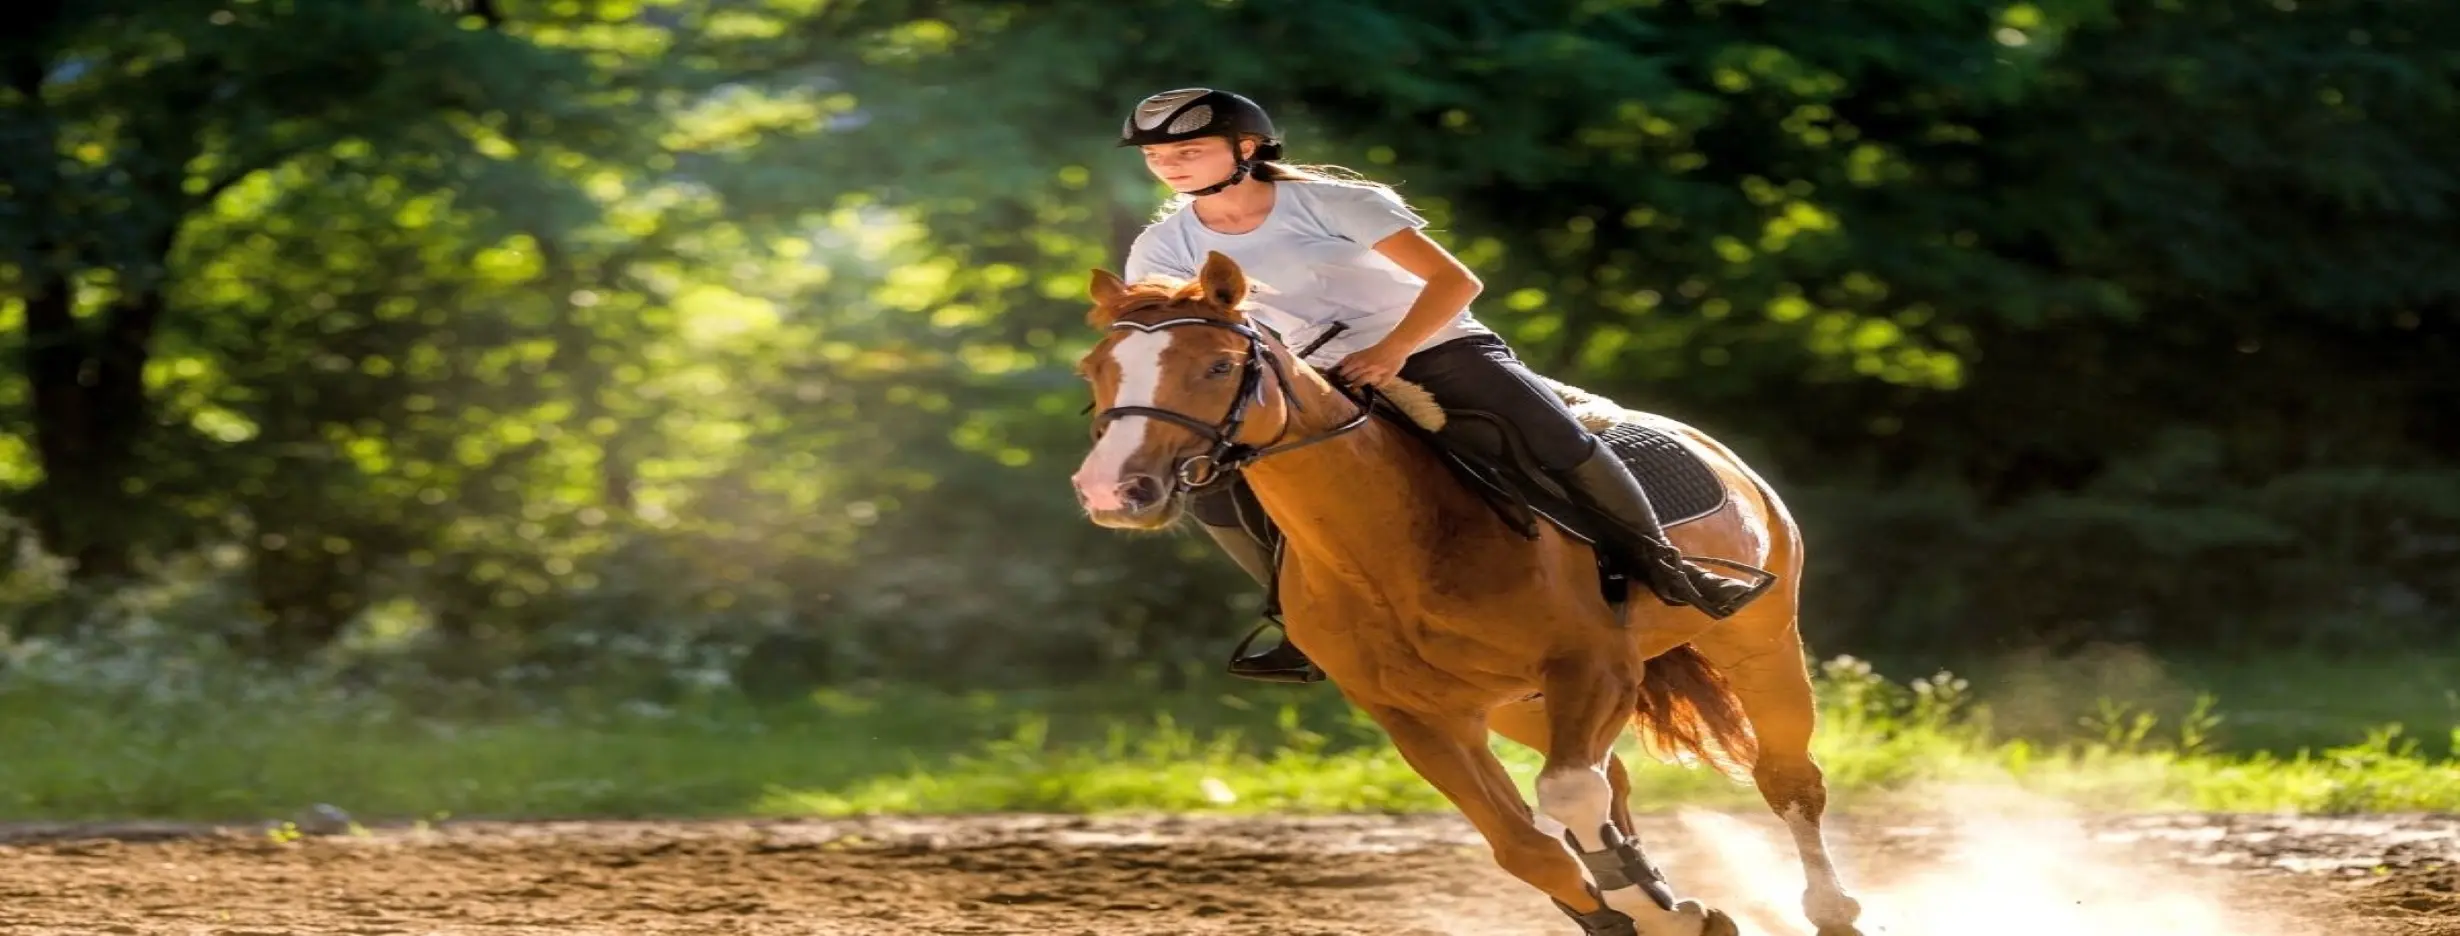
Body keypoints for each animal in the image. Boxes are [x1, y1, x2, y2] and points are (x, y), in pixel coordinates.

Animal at [1067, 251, 1862, 936]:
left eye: (1218, 365)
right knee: (1612, 783)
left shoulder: (1595, 667)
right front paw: (1648, 916)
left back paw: (1832, 910)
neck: (1388, 549)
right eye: (1095, 369)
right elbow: (1529, 847)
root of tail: (1716, 450)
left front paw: (1664, 911)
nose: (1114, 489)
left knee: (1785, 776)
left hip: (1756, 642)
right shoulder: (1417, 719)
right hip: (1520, 706)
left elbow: (1567, 796)